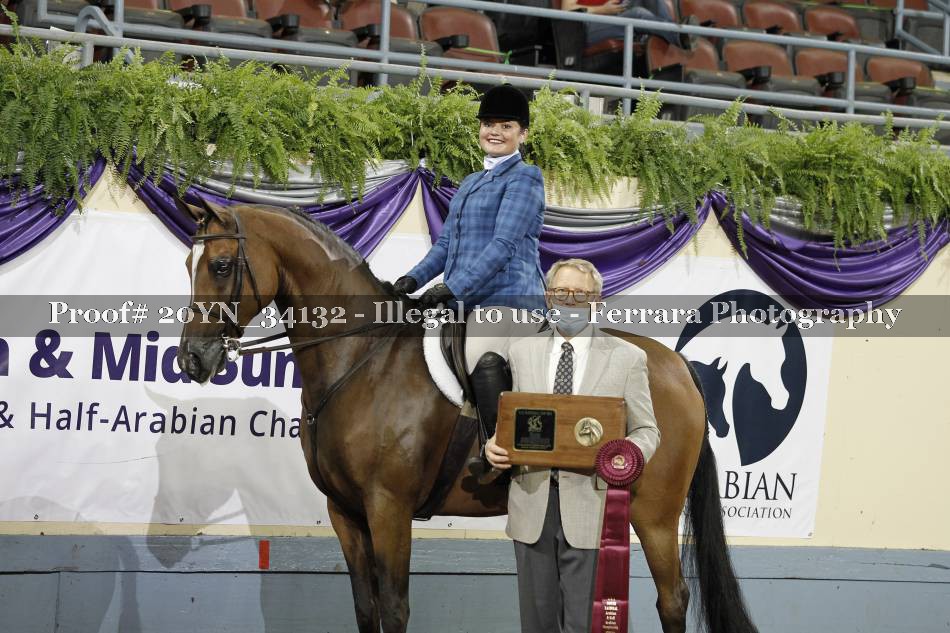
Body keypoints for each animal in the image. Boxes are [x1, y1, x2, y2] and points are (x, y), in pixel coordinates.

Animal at [175, 196, 758, 633]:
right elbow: (365, 607)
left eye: (221, 266)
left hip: (653, 513)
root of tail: (676, 365)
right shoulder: (345, 511)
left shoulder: (388, 508)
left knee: (672, 599)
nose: (192, 360)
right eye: (187, 265)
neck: (361, 359)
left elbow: (394, 607)